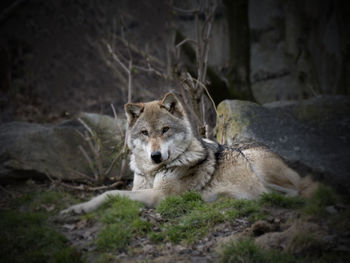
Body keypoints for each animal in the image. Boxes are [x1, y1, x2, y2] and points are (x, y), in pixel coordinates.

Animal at [60, 93, 318, 214]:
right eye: (144, 133)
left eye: (165, 130)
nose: (156, 156)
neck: (152, 171)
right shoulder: (139, 189)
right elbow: (116, 193)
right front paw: (76, 208)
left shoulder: (159, 196)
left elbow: (110, 193)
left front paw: (79, 208)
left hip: (257, 164)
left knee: (295, 192)